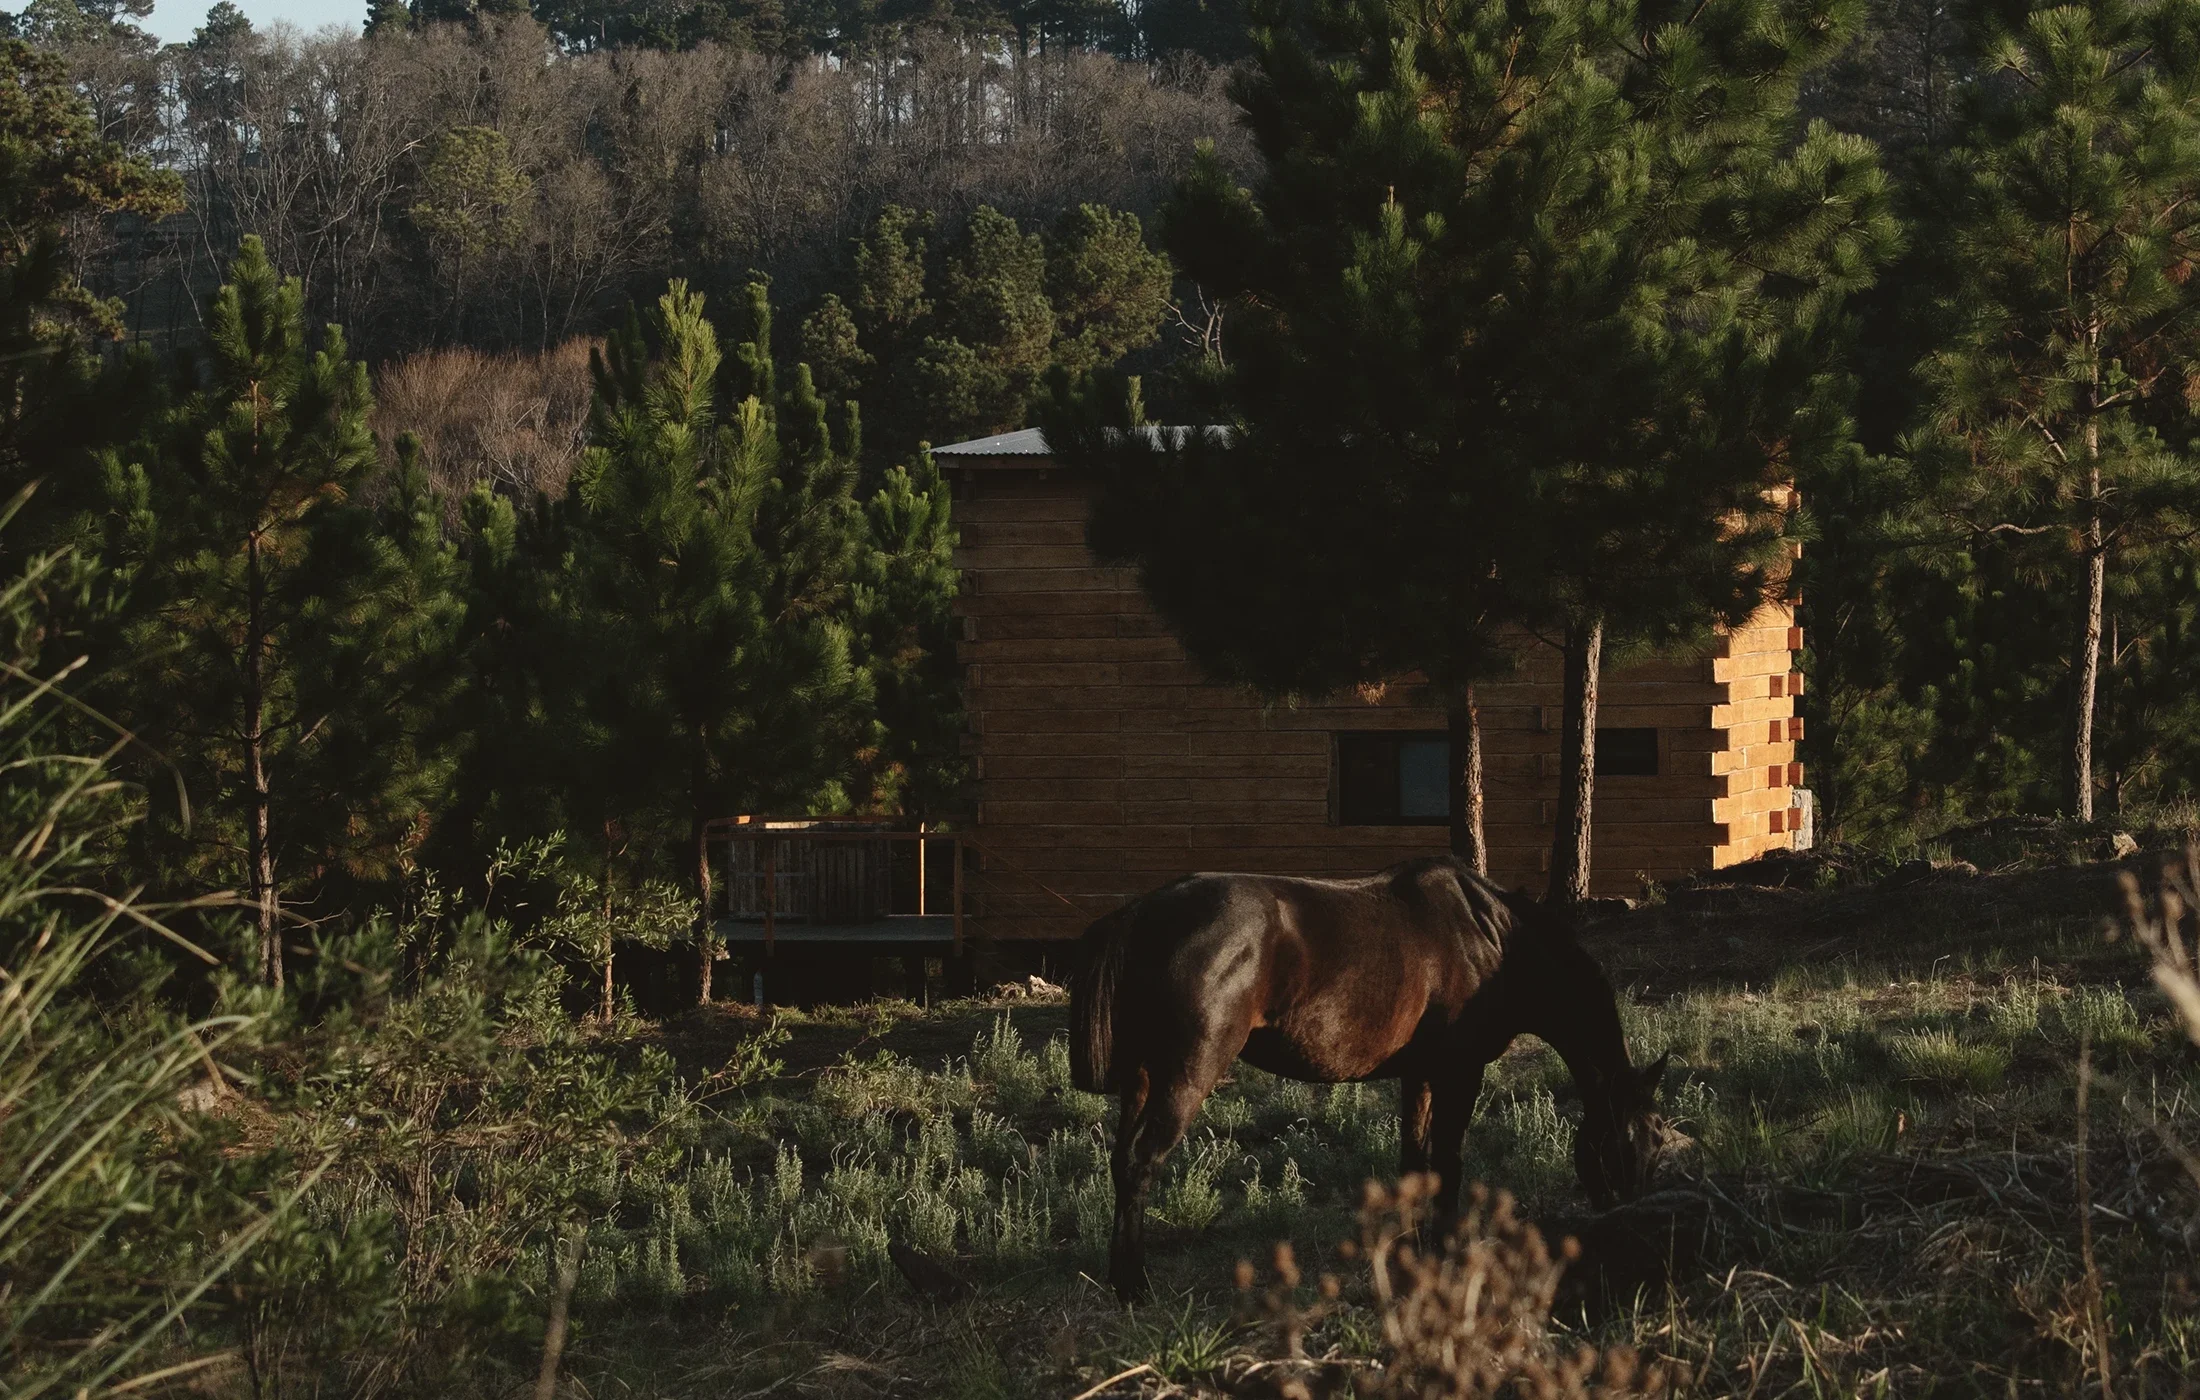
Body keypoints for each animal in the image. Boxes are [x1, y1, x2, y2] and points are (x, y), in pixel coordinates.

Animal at [1069, 855, 1682, 1301]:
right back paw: (1135, 1286)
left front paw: (1413, 1254)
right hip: (1187, 1073)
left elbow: (1415, 1162)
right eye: (1624, 1140)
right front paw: (1443, 1252)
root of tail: (1144, 911)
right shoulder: (1460, 1072)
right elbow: (1449, 1163)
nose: (1636, 1233)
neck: (1491, 937)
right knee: (1142, 1162)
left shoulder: (1420, 1075)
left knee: (1123, 1161)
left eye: (1659, 1143)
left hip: (1142, 1078)